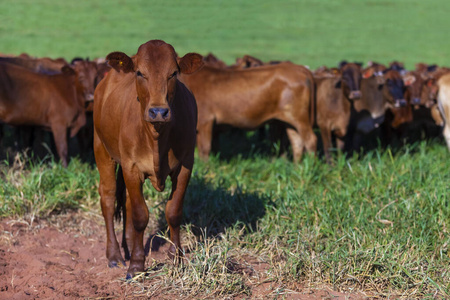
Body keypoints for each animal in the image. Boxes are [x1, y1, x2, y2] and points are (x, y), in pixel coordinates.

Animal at [93, 39, 202, 278]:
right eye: (140, 73)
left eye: (173, 73)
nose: (158, 111)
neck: (156, 137)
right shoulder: (132, 168)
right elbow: (140, 216)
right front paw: (136, 265)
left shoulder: (185, 166)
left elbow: (173, 211)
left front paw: (176, 258)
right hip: (102, 150)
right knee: (108, 198)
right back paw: (115, 255)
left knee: (126, 202)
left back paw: (129, 247)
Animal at [178, 61, 316, 163]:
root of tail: (298, 68)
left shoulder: (206, 121)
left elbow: (205, 148)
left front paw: (206, 167)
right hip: (290, 121)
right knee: (297, 142)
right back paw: (297, 167)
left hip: (300, 118)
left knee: (310, 140)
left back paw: (311, 166)